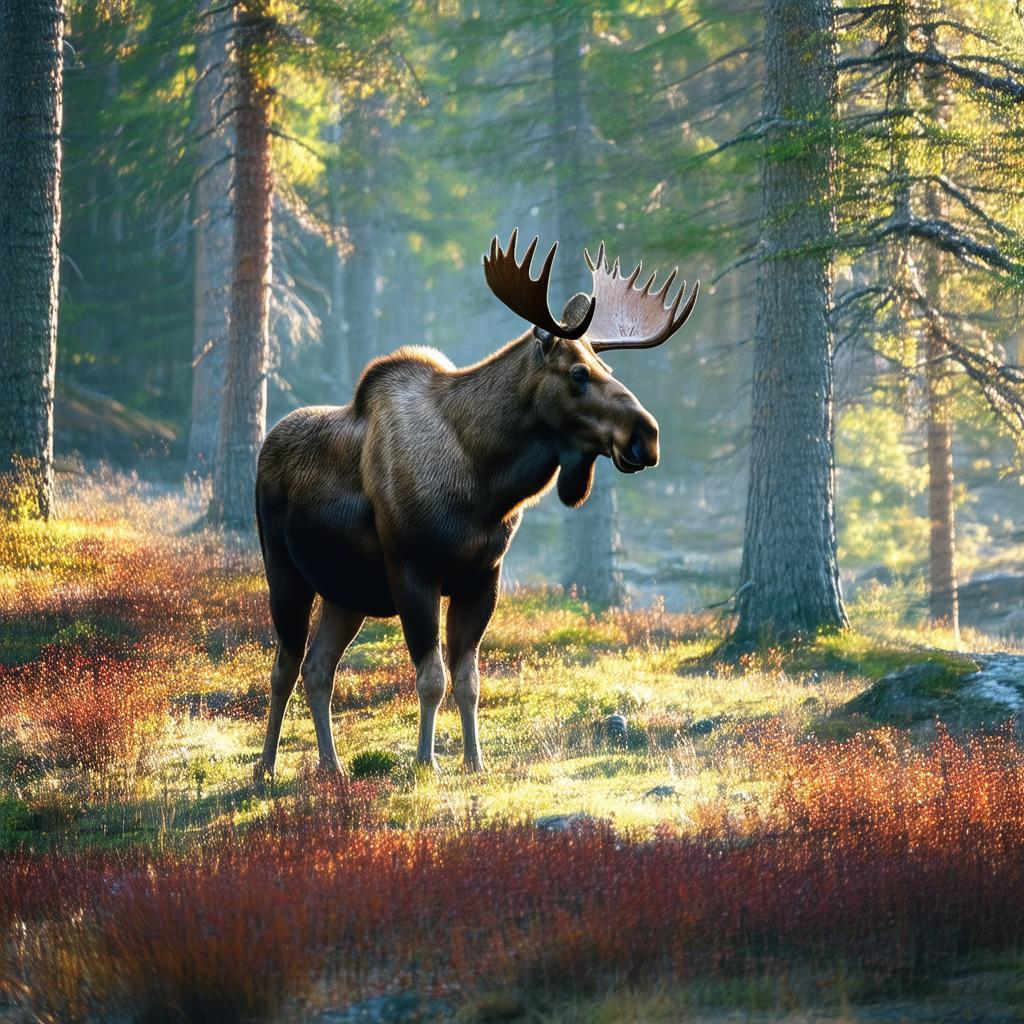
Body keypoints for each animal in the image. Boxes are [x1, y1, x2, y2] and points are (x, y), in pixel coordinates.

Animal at [252, 230, 699, 785]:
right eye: (578, 373)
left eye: (607, 367)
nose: (647, 436)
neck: (484, 485)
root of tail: (266, 448)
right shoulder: (413, 571)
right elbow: (431, 678)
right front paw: (426, 761)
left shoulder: (483, 577)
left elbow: (469, 680)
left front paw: (474, 760)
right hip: (284, 572)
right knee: (284, 666)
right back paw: (266, 767)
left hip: (346, 590)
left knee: (318, 668)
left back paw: (332, 768)